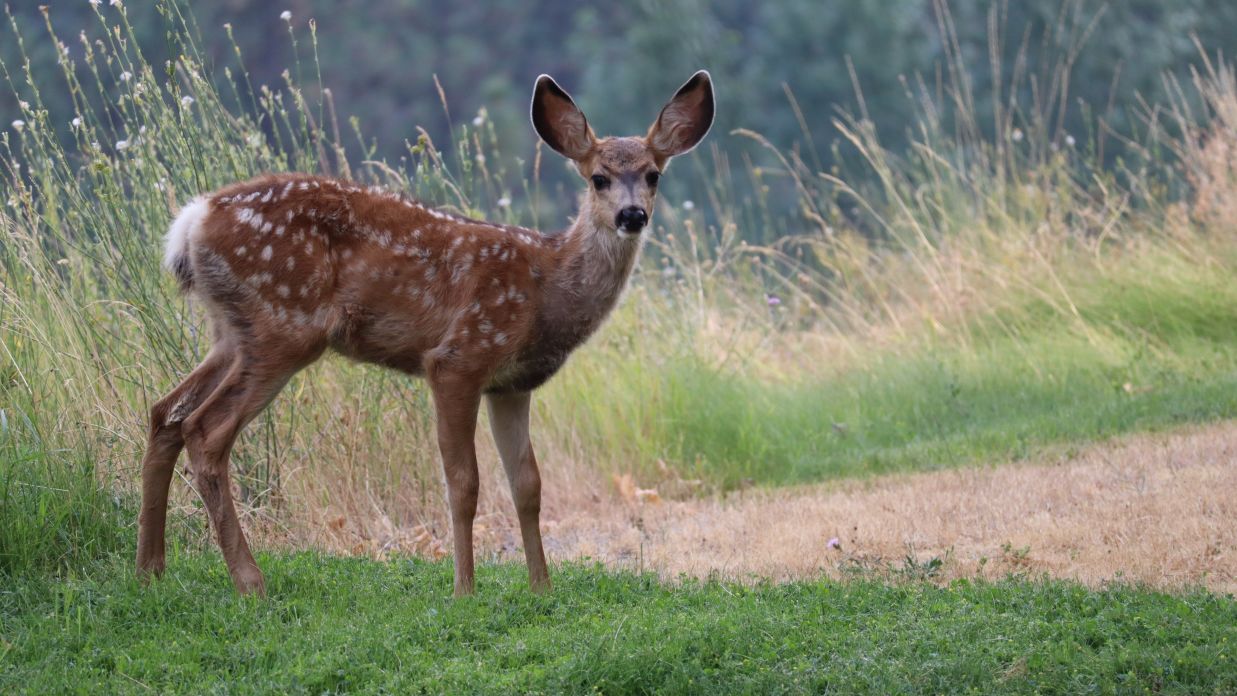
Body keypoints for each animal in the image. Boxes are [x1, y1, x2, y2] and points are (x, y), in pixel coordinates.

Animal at [135, 70, 717, 595]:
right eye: (598, 177)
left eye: (653, 174)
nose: (632, 215)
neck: (546, 287)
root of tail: (192, 221)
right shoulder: (460, 357)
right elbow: (464, 482)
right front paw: (465, 589)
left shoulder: (511, 384)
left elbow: (527, 484)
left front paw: (542, 589)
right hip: (284, 324)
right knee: (206, 430)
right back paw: (250, 582)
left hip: (232, 332)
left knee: (165, 413)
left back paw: (151, 570)